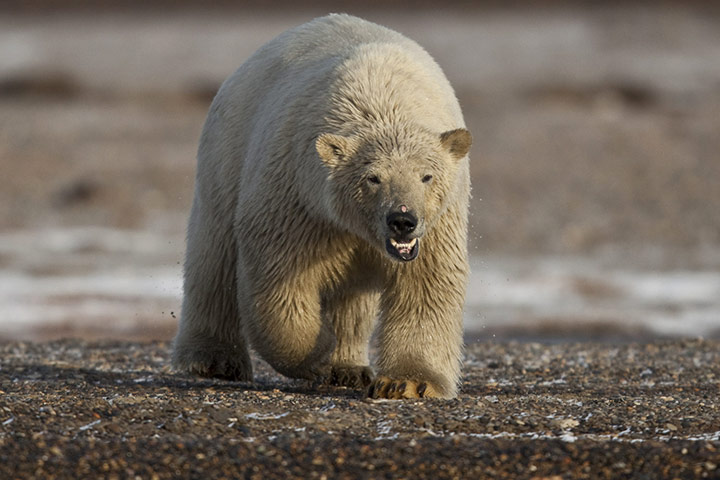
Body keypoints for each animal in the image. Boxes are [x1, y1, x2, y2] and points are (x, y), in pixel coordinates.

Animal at [172, 13, 472, 399]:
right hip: (226, 153)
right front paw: (320, 354)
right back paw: (214, 360)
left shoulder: (436, 225)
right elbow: (280, 280)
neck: (380, 95)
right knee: (214, 255)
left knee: (352, 296)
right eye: (373, 178)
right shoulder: (299, 198)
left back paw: (350, 368)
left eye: (427, 176)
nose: (402, 220)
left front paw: (407, 382)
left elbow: (425, 286)